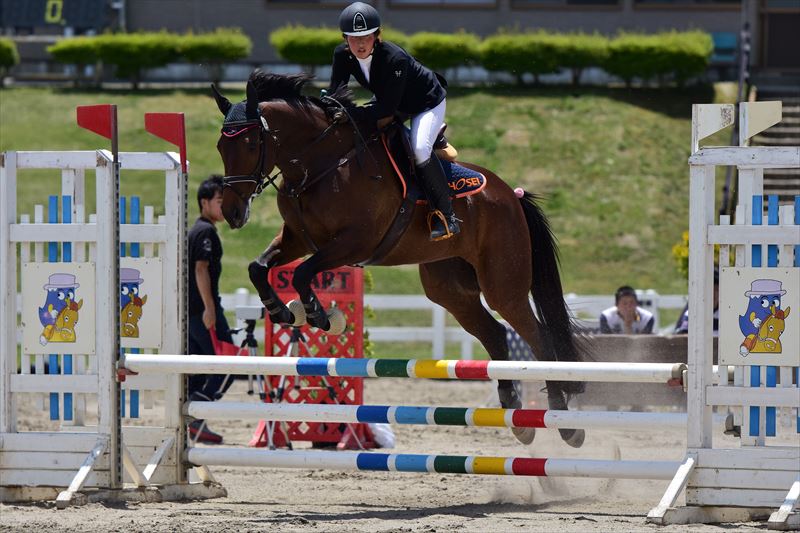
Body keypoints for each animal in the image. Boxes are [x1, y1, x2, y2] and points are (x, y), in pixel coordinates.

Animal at [212, 69, 588, 444]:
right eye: (220, 146)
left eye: (250, 144)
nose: (232, 213)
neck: (320, 164)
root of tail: (512, 195)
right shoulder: (298, 239)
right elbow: (258, 267)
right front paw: (282, 311)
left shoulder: (354, 242)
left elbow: (303, 273)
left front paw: (321, 316)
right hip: (449, 288)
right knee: (495, 333)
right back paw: (517, 417)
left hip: (502, 285)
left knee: (539, 338)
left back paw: (566, 425)